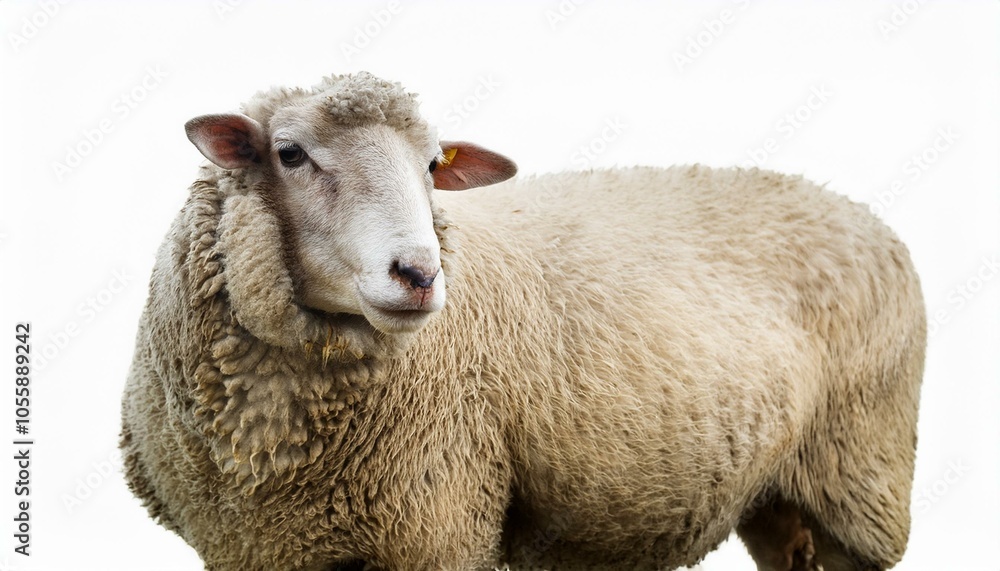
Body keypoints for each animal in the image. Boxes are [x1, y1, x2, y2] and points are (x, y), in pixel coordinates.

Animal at [120, 71, 925, 571]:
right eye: (289, 153)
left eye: (432, 165)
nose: (419, 274)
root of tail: (852, 206)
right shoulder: (251, 544)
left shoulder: (439, 523)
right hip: (782, 495)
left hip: (863, 474)